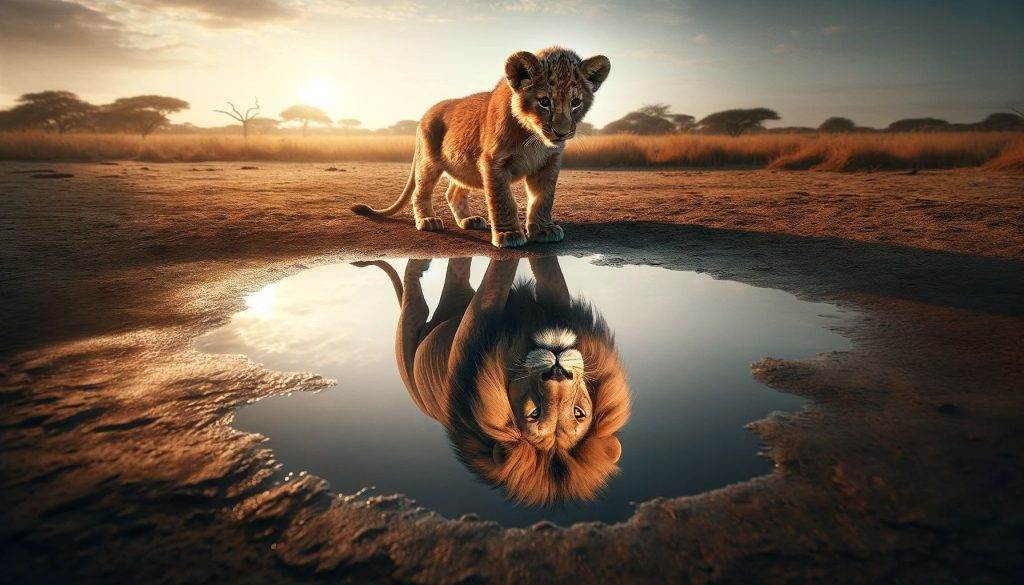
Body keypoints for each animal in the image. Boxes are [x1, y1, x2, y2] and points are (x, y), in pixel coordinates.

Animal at [350, 47, 611, 248]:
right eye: (544, 101)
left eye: (575, 103)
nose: (562, 132)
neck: (533, 137)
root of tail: (425, 114)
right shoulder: (493, 162)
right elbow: (503, 200)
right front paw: (509, 234)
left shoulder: (549, 163)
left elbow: (543, 199)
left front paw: (543, 230)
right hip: (429, 161)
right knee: (421, 191)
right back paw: (428, 221)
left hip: (463, 163)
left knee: (453, 193)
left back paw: (469, 221)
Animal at [355, 256, 630, 505]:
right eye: (534, 414)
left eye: (578, 413)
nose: (558, 370)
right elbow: (526, 269)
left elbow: (521, 271)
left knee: (440, 281)